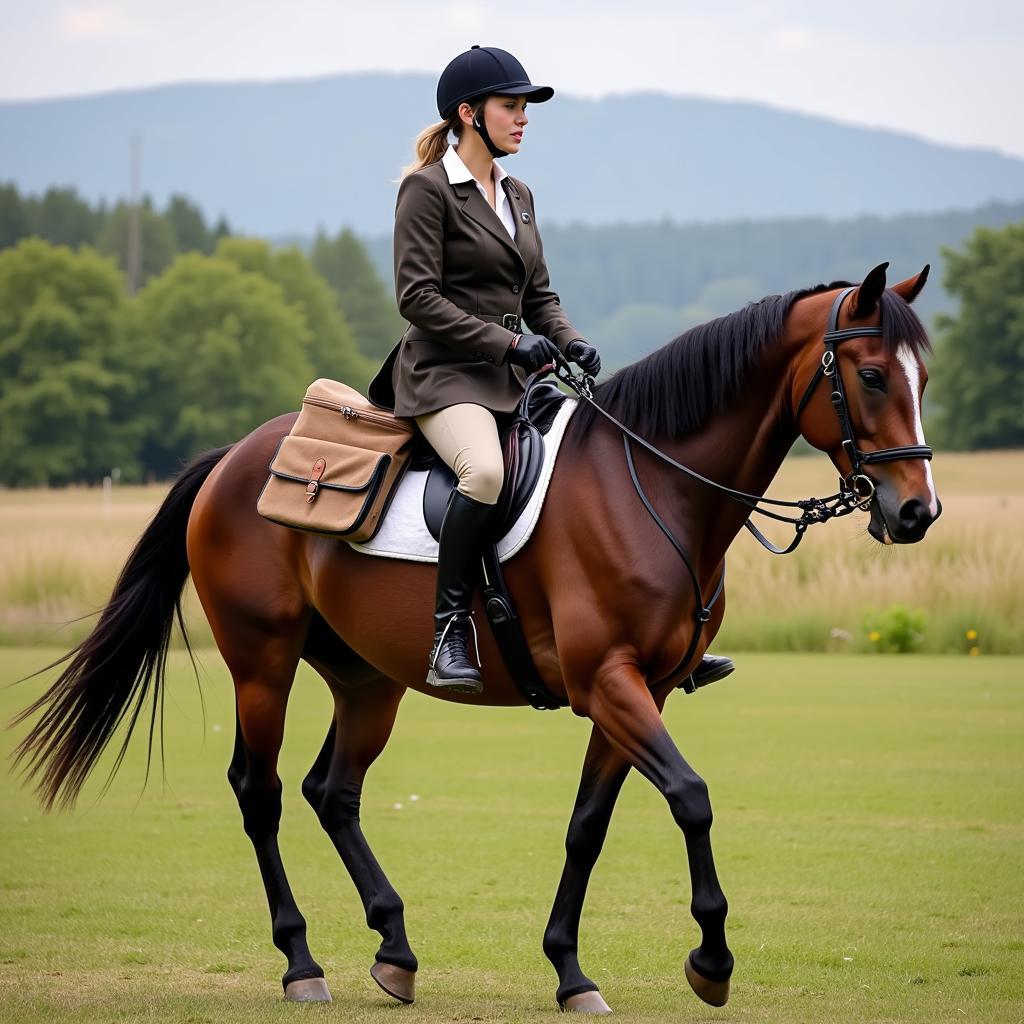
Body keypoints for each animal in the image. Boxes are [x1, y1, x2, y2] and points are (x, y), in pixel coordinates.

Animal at [14, 262, 942, 1007]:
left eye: (922, 376)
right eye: (868, 375)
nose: (917, 513)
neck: (652, 488)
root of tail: (238, 457)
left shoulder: (631, 691)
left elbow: (587, 827)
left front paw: (570, 971)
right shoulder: (610, 683)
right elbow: (691, 797)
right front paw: (710, 962)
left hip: (367, 681)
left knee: (331, 791)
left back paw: (394, 949)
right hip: (262, 665)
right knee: (261, 791)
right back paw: (301, 963)